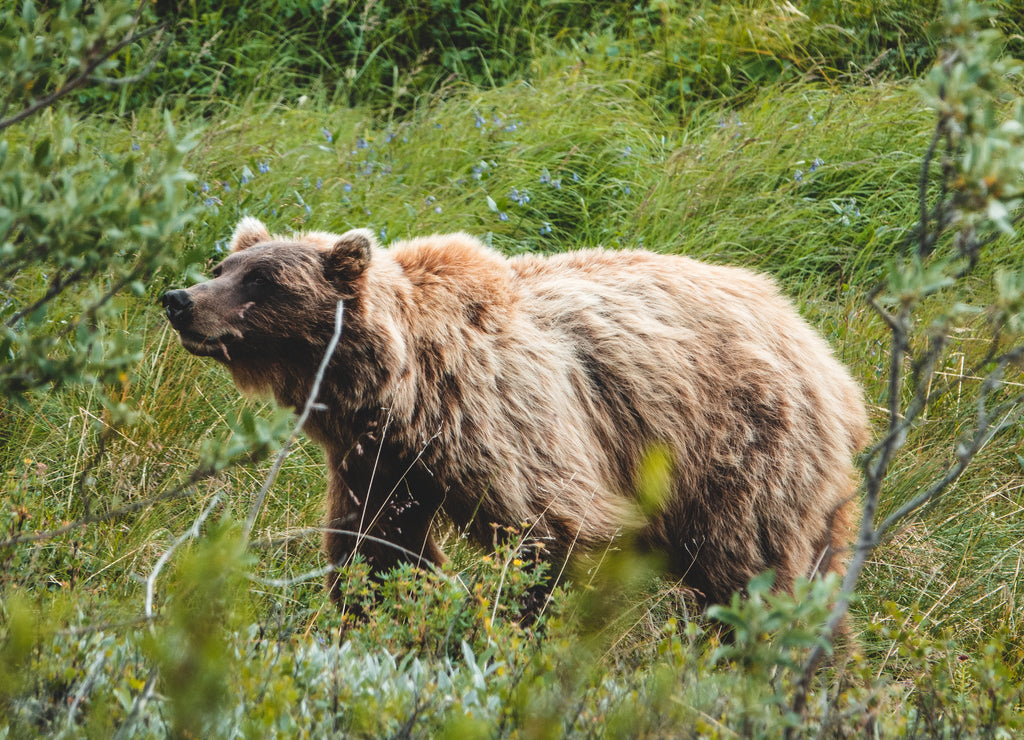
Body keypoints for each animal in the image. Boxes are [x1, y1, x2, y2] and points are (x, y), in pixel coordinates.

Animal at [163, 216, 868, 610]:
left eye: (263, 281)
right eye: (223, 265)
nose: (179, 299)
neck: (405, 389)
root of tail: (827, 358)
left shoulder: (506, 424)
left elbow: (553, 534)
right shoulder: (380, 459)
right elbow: (377, 549)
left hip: (740, 446)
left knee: (754, 564)